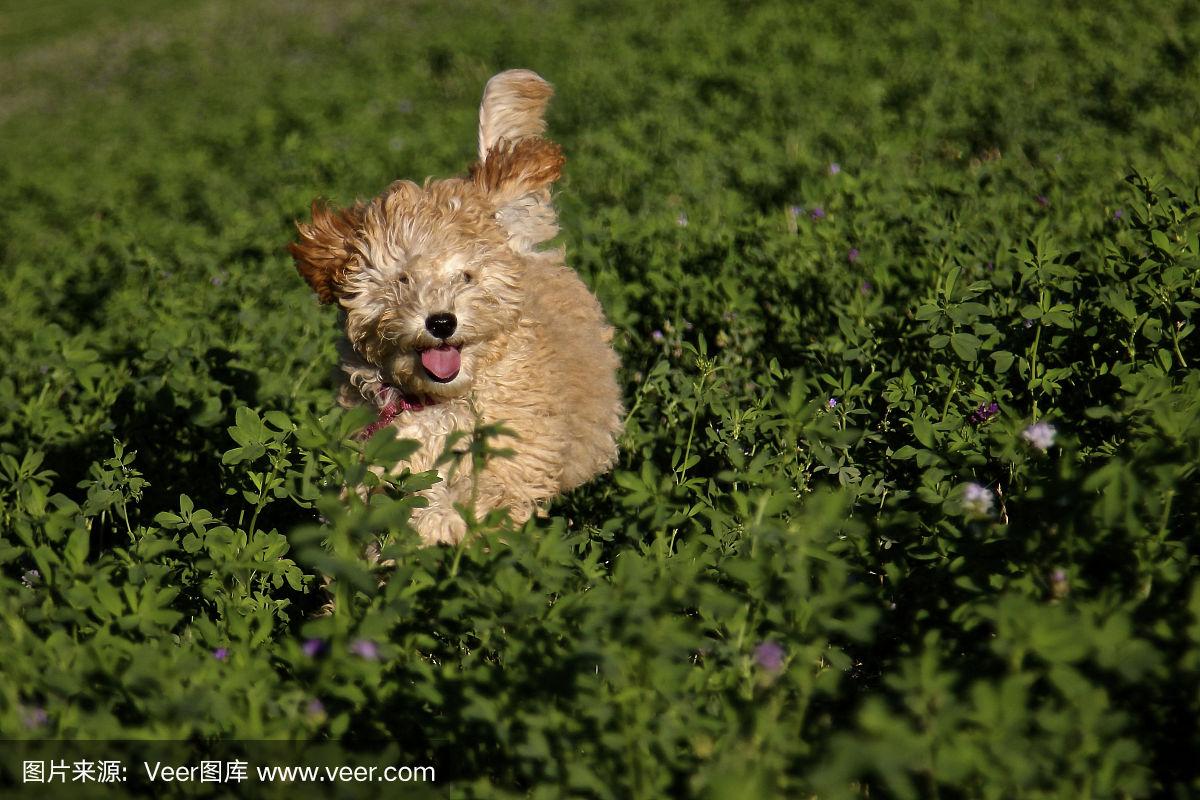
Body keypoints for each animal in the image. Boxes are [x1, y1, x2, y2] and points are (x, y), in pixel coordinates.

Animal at [286, 70, 624, 544]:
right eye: (403, 280)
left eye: (465, 277)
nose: (442, 322)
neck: (438, 403)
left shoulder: (515, 450)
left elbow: (481, 494)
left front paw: (445, 528)